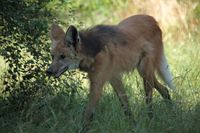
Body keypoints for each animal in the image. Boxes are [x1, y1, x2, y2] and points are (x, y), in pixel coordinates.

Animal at [46, 14, 174, 123]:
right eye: (52, 56)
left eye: (63, 56)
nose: (48, 71)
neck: (93, 52)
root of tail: (152, 19)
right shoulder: (114, 77)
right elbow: (126, 107)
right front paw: (133, 125)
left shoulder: (98, 86)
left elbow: (87, 116)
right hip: (143, 72)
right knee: (164, 90)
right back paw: (173, 112)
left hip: (145, 72)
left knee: (150, 100)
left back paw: (152, 121)